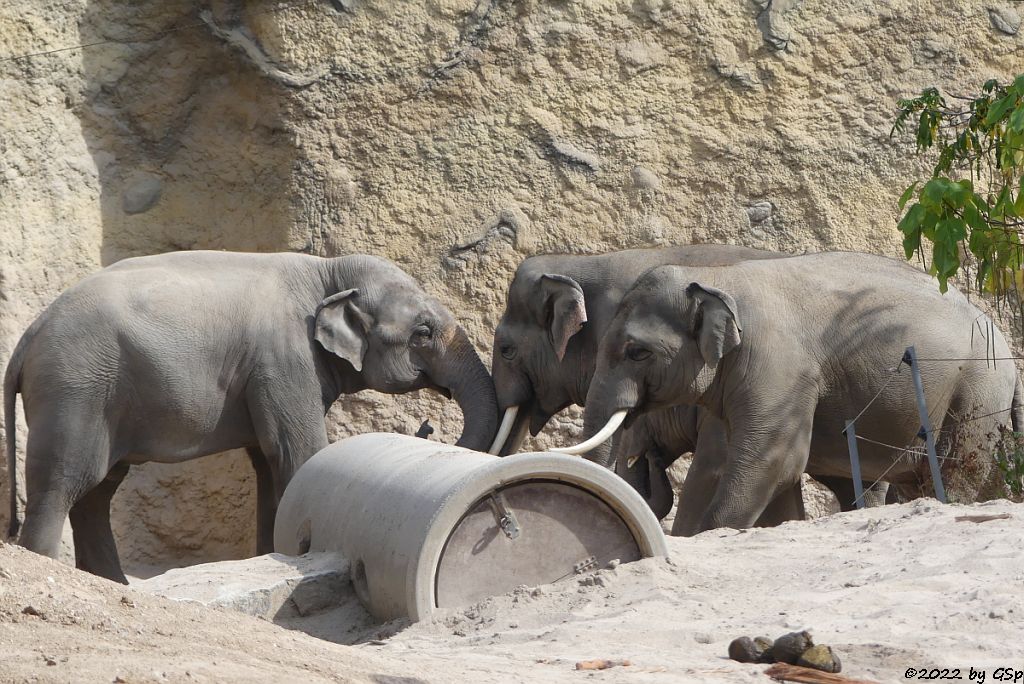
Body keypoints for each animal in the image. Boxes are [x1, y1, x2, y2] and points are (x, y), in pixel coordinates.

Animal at [3, 250, 499, 581]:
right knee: (63, 483)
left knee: (96, 492)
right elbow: (298, 454)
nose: (427, 427)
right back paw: (49, 564)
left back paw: (111, 583)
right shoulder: (285, 360)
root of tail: (28, 335)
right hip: (75, 390)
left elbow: (269, 462)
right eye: (422, 333)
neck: (327, 270)